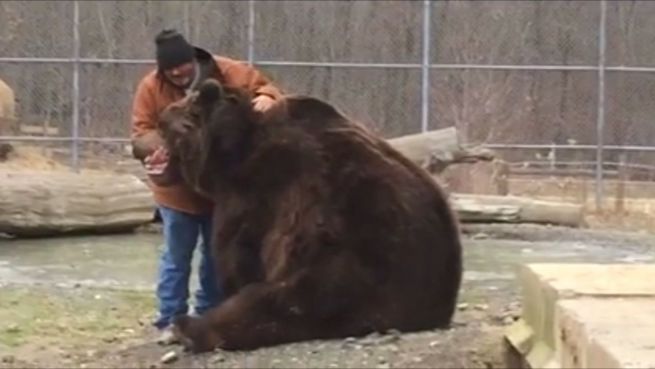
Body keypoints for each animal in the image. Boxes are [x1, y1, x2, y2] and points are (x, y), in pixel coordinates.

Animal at [156, 78, 464, 350]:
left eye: (180, 108)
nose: (160, 117)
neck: (231, 153)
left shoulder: (258, 196)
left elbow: (236, 255)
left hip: (353, 257)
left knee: (277, 303)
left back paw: (188, 327)